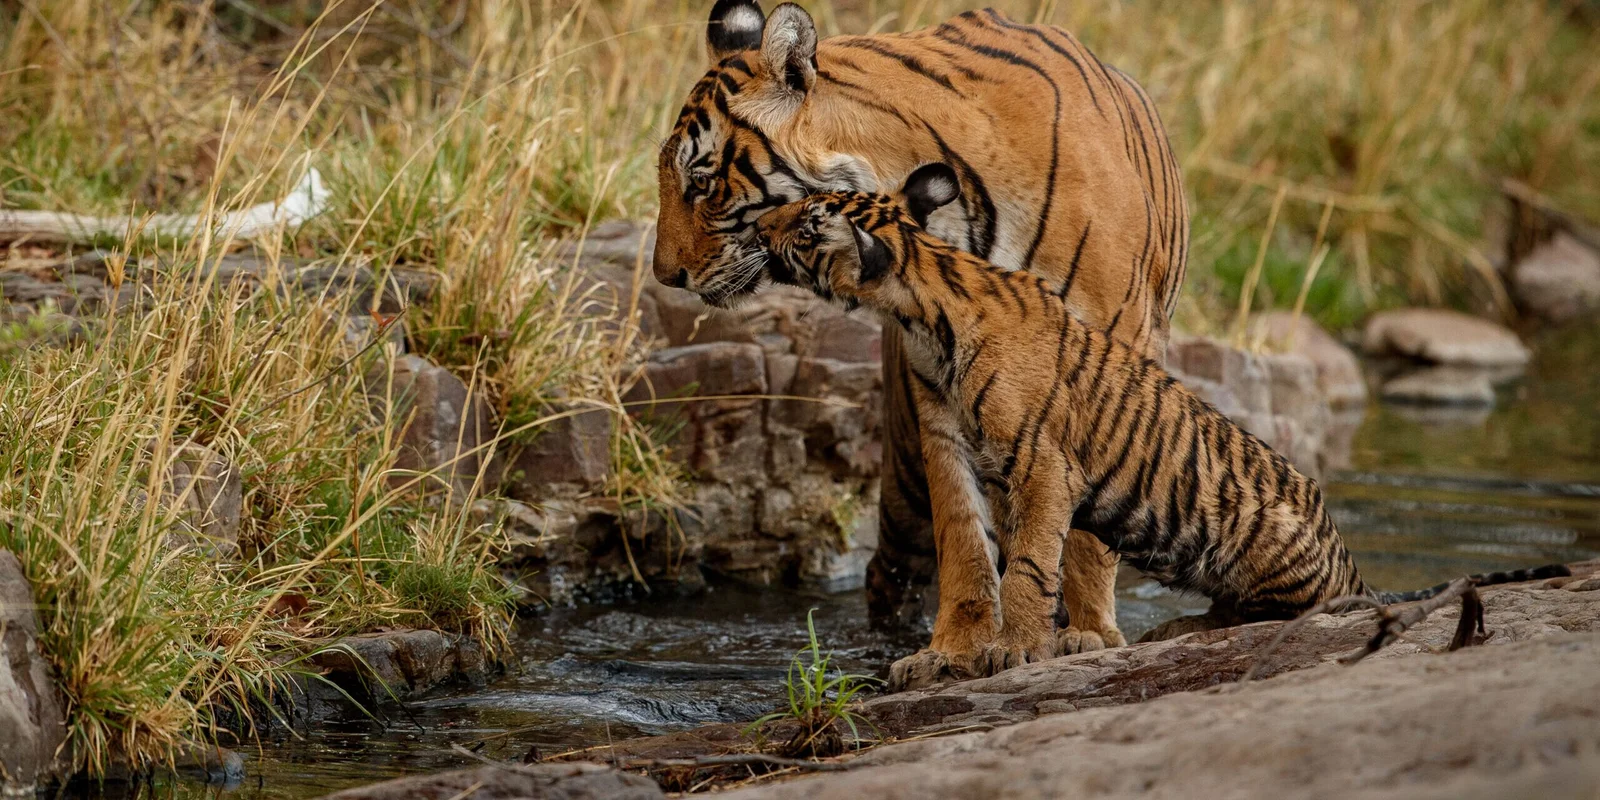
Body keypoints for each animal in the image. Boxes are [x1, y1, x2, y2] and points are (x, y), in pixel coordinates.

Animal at [654, 0, 1188, 671]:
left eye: (700, 183)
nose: (663, 274)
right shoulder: (934, 370)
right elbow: (960, 524)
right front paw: (953, 649)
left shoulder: (1112, 343)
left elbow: (1085, 538)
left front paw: (1088, 633)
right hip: (906, 478)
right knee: (889, 570)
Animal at [754, 163, 1571, 689]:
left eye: (808, 222)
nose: (761, 218)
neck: (920, 311)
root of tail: (1351, 561)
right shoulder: (948, 449)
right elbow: (965, 556)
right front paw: (942, 657)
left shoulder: (1043, 463)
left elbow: (1027, 566)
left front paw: (1015, 652)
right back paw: (1169, 632)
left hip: (1262, 533)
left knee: (1288, 613)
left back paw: (1177, 632)